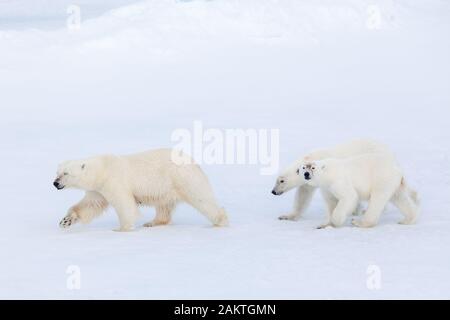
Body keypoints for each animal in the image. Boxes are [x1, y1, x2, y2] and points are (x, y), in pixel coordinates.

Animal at [53, 149, 229, 231]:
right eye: (57, 172)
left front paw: (121, 228)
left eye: (66, 173)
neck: (102, 169)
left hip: (182, 178)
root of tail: (193, 161)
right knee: (164, 206)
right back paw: (152, 223)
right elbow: (90, 205)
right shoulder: (98, 189)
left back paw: (220, 220)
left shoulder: (114, 181)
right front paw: (65, 221)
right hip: (166, 188)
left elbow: (124, 204)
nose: (55, 183)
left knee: (201, 198)